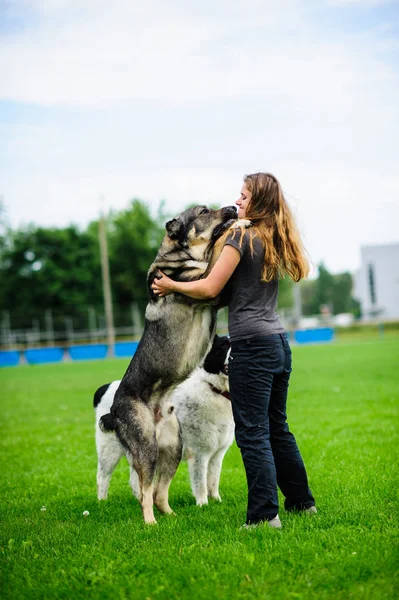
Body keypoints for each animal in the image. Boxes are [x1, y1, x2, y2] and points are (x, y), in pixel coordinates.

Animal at [94, 336, 234, 508]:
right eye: (224, 346)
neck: (213, 388)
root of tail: (106, 387)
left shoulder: (217, 454)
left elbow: (213, 480)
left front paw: (216, 500)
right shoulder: (199, 453)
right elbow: (200, 482)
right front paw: (203, 504)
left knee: (135, 481)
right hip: (110, 449)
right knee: (103, 476)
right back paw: (102, 502)